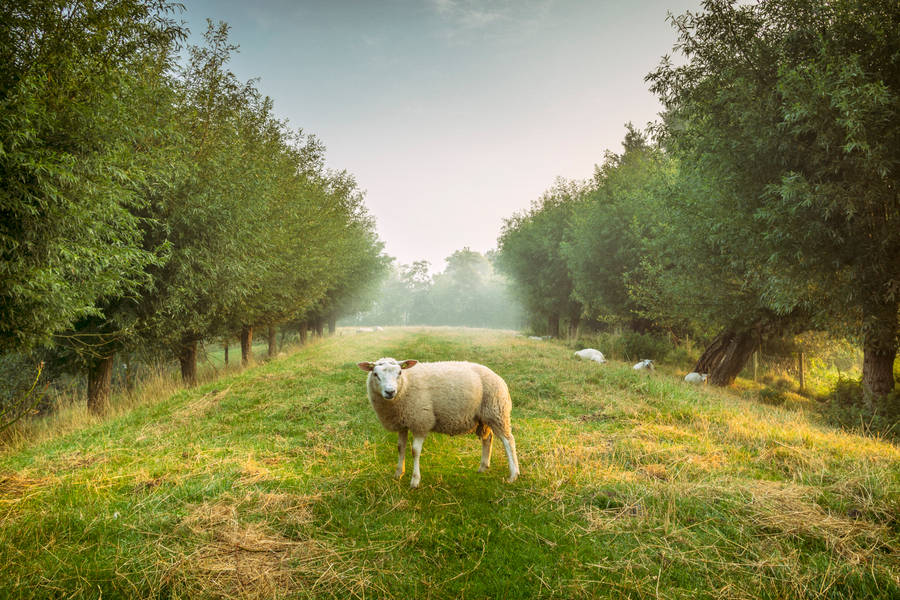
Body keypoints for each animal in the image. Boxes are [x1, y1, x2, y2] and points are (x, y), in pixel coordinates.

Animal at [357, 357, 520, 488]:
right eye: (376, 374)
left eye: (399, 373)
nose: (390, 392)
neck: (406, 385)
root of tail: (497, 376)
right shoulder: (402, 423)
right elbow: (400, 448)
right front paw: (398, 474)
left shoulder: (420, 421)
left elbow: (415, 451)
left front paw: (415, 480)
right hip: (484, 417)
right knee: (488, 438)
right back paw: (483, 467)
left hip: (497, 411)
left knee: (508, 441)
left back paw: (513, 475)